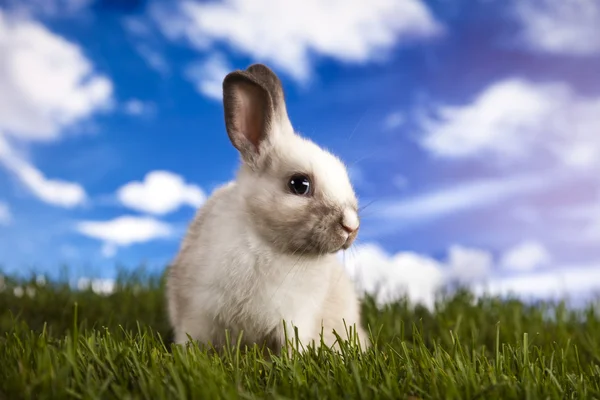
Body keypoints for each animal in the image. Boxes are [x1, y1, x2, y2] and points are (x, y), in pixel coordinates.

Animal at [166, 62, 368, 354]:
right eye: (299, 184)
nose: (351, 226)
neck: (264, 242)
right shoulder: (196, 312)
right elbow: (189, 343)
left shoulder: (294, 319)